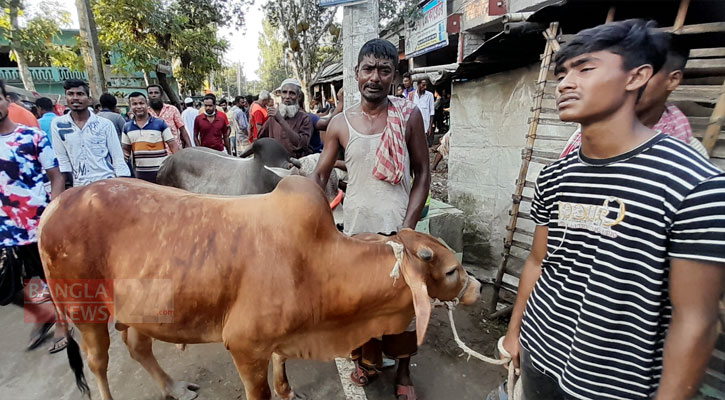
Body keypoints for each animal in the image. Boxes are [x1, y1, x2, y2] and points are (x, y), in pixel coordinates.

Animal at [38, 177, 480, 398]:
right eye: (451, 271)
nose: (476, 287)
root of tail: (54, 206)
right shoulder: (245, 346)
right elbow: (260, 391)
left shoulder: (280, 336)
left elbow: (281, 366)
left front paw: (288, 392)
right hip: (84, 310)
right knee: (98, 363)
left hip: (142, 308)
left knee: (138, 346)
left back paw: (174, 387)